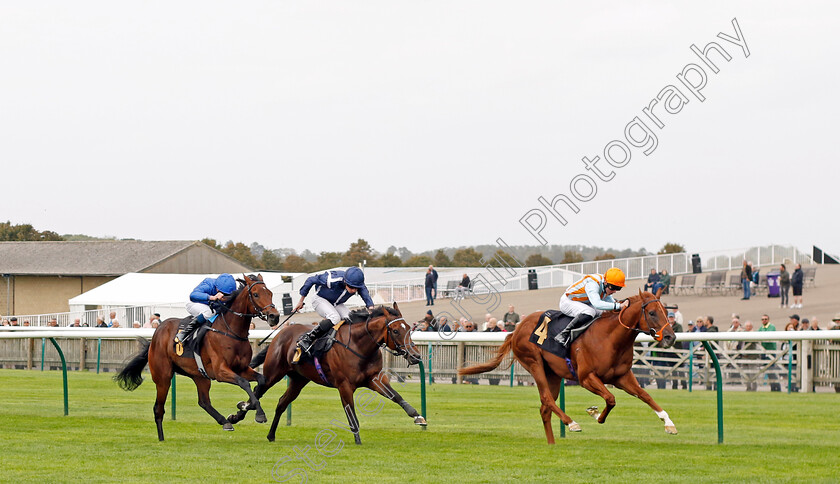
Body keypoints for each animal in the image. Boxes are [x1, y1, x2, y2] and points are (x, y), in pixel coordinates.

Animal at [115, 274, 280, 440]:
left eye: (270, 293)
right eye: (256, 294)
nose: (275, 316)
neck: (231, 332)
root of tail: (156, 335)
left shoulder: (242, 368)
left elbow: (261, 380)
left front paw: (242, 407)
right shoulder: (220, 371)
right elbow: (244, 383)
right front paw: (259, 414)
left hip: (200, 376)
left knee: (204, 402)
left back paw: (225, 422)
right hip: (163, 377)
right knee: (158, 408)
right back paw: (161, 439)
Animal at [228, 302, 426, 446]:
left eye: (409, 328)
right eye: (395, 330)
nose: (415, 356)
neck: (358, 345)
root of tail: (280, 334)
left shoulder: (374, 379)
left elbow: (396, 396)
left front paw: (418, 417)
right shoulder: (344, 386)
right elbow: (351, 414)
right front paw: (357, 440)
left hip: (298, 380)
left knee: (281, 403)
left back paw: (270, 435)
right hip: (274, 373)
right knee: (258, 389)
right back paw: (240, 413)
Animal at [456, 290, 680, 444]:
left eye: (665, 312)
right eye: (652, 312)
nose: (671, 337)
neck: (609, 338)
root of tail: (516, 329)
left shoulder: (622, 377)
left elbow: (645, 396)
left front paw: (669, 423)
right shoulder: (586, 377)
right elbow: (610, 398)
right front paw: (594, 414)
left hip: (553, 374)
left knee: (544, 408)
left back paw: (552, 443)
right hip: (534, 362)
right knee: (547, 399)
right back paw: (571, 423)